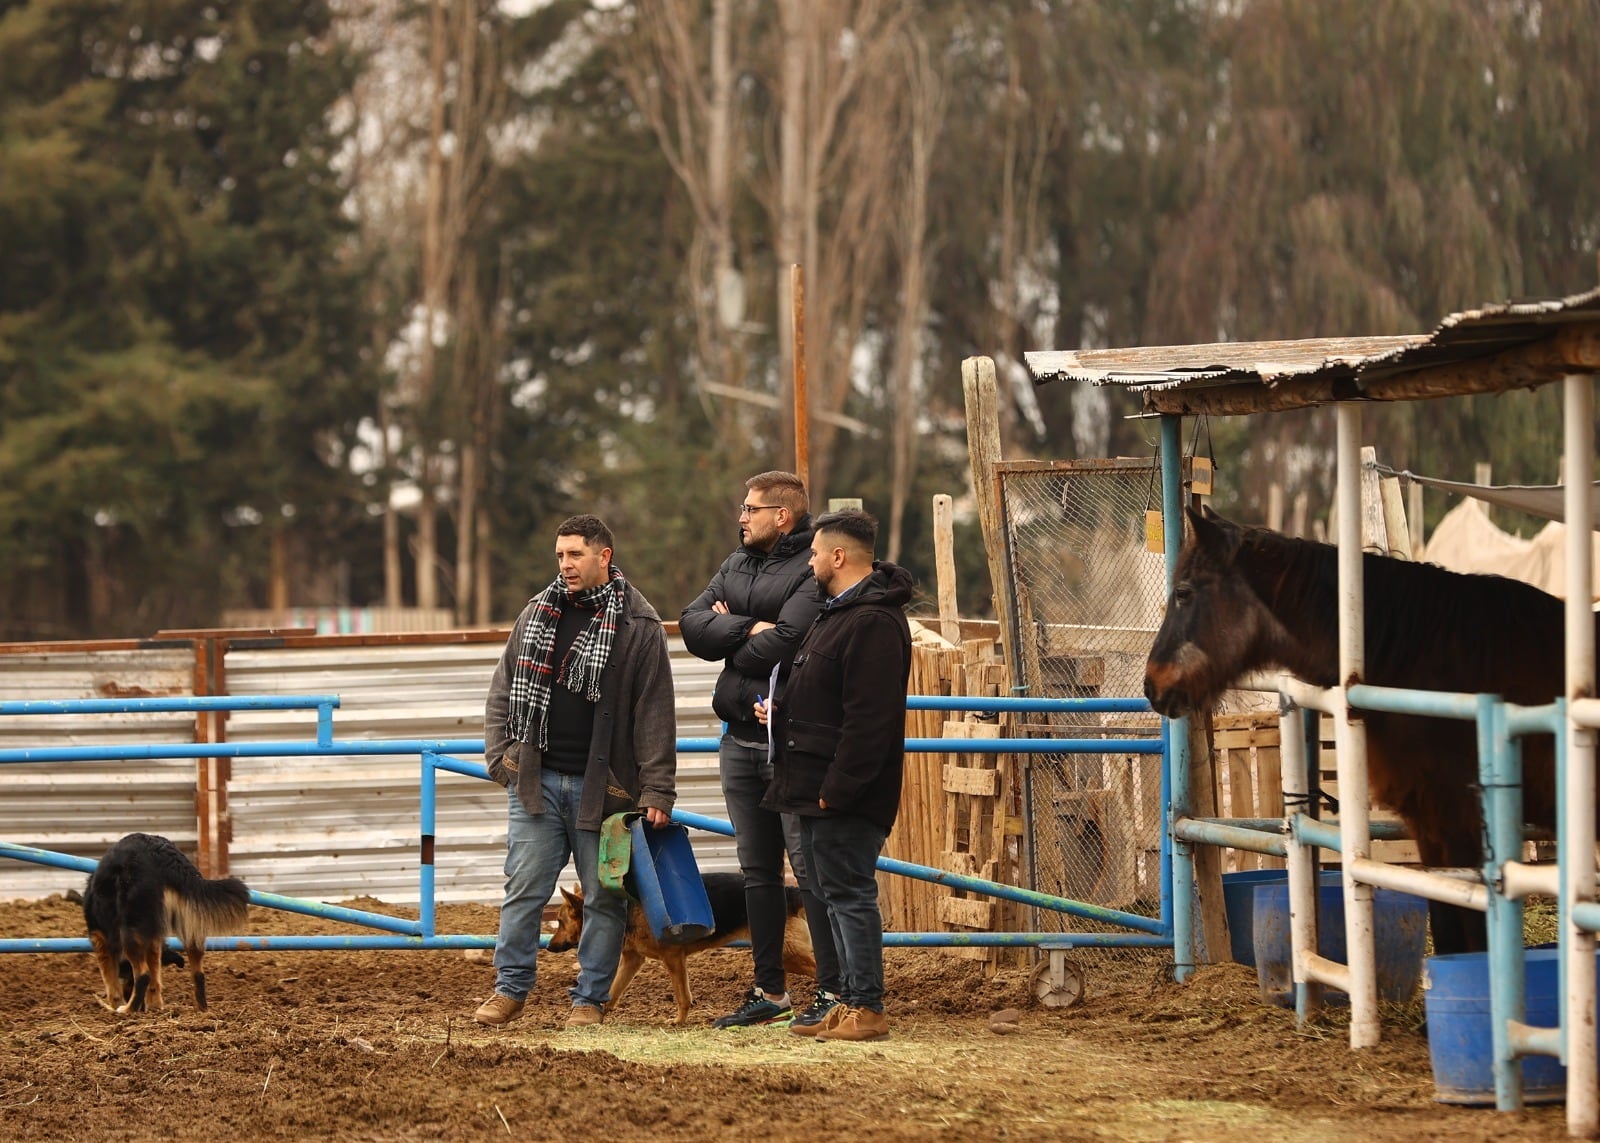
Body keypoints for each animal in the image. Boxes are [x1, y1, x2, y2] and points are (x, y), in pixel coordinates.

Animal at [81, 832, 249, 1011]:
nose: (141, 1009)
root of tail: (160, 852)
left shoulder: (99, 938)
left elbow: (111, 981)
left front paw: (116, 1005)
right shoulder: (154, 939)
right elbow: (155, 977)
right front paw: (155, 1006)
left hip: (129, 928)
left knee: (143, 975)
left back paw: (127, 1010)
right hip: (189, 921)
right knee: (198, 973)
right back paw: (202, 1010)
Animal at [547, 870, 812, 1018]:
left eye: (559, 921)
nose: (548, 947)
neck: (627, 911)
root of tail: (789, 891)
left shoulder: (673, 959)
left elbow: (683, 997)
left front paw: (678, 1023)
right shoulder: (633, 960)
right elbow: (613, 992)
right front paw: (599, 1015)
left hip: (791, 955)